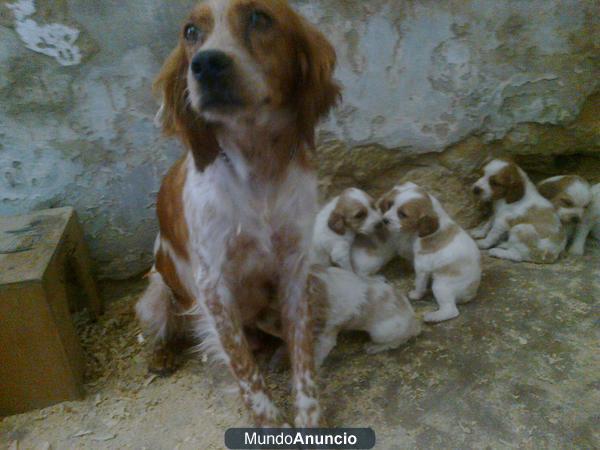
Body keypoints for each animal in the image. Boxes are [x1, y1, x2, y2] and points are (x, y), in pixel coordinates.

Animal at [137, 0, 342, 428]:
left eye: (259, 17)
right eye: (190, 32)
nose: (206, 64)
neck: (257, 169)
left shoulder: (295, 268)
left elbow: (303, 354)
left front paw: (308, 417)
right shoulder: (213, 288)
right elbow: (245, 370)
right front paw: (271, 424)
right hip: (154, 296)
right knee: (167, 326)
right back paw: (161, 354)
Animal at [255, 266, 420, 368]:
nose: (257, 319)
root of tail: (414, 322)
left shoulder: (325, 338)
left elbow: (315, 358)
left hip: (380, 332)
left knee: (398, 341)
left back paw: (373, 347)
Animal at [380, 184, 482, 324]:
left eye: (402, 214)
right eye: (390, 205)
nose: (384, 220)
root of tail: (472, 291)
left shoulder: (421, 267)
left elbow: (419, 284)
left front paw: (416, 294)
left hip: (441, 286)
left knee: (451, 310)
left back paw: (432, 317)